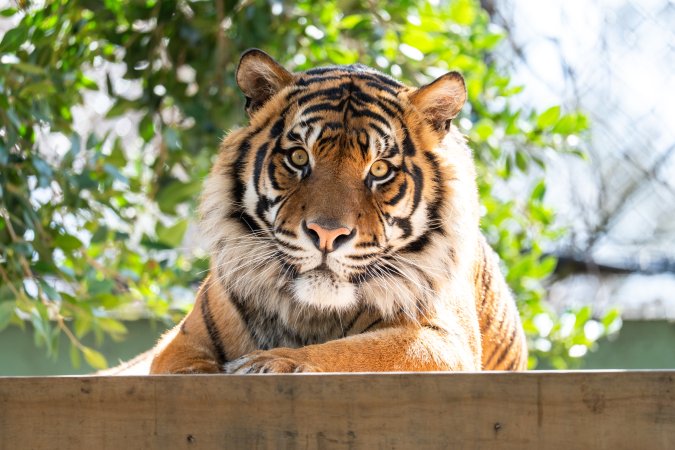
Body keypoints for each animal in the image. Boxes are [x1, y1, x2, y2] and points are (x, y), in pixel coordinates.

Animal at [112, 49, 527, 375]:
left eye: (379, 169)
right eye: (299, 158)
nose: (327, 235)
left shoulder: (443, 340)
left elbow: (358, 352)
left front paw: (270, 362)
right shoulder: (179, 343)